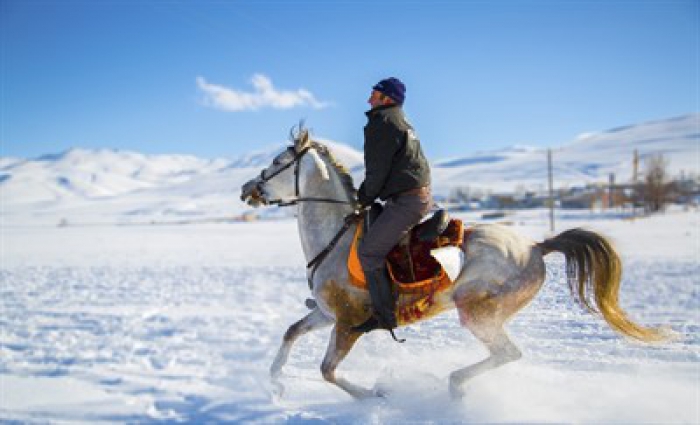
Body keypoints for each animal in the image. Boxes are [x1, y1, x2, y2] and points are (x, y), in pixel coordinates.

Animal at [241, 127, 668, 400]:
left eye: (277, 162)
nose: (247, 188)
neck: (335, 236)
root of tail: (536, 246)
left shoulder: (347, 325)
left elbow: (327, 371)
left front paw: (374, 395)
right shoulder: (328, 315)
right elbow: (291, 333)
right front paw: (275, 385)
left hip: (478, 313)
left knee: (508, 353)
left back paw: (454, 386)